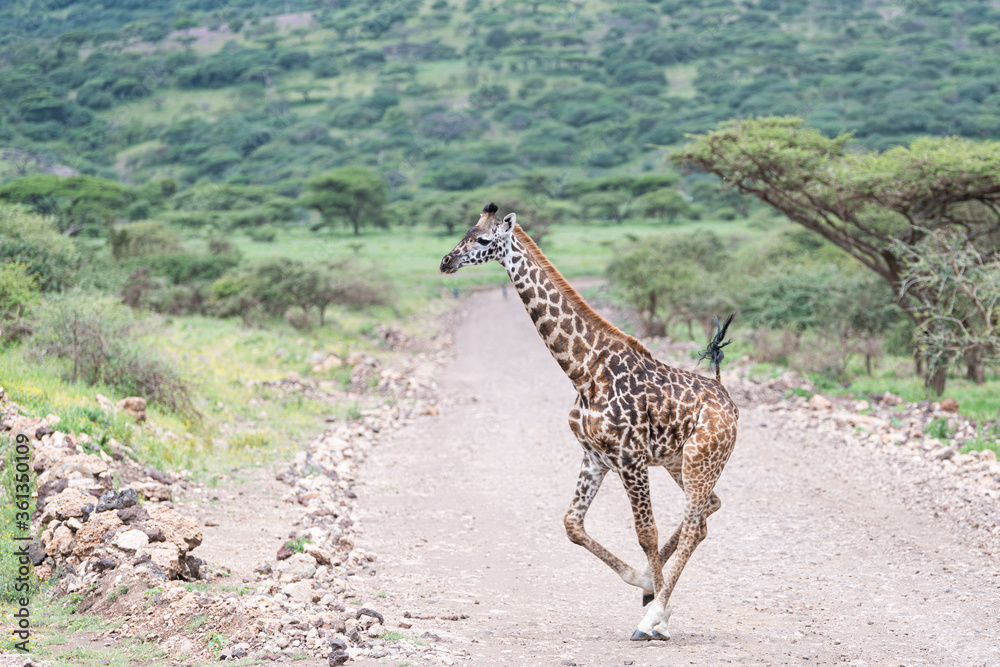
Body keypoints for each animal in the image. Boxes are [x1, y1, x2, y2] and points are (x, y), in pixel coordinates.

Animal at [440, 203, 739, 641]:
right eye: (463, 233)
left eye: (481, 239)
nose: (446, 261)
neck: (583, 369)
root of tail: (728, 400)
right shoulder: (596, 456)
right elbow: (572, 524)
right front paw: (644, 582)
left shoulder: (630, 458)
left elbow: (645, 533)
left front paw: (652, 609)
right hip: (679, 461)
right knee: (705, 514)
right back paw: (655, 593)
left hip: (700, 460)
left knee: (692, 524)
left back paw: (655, 617)